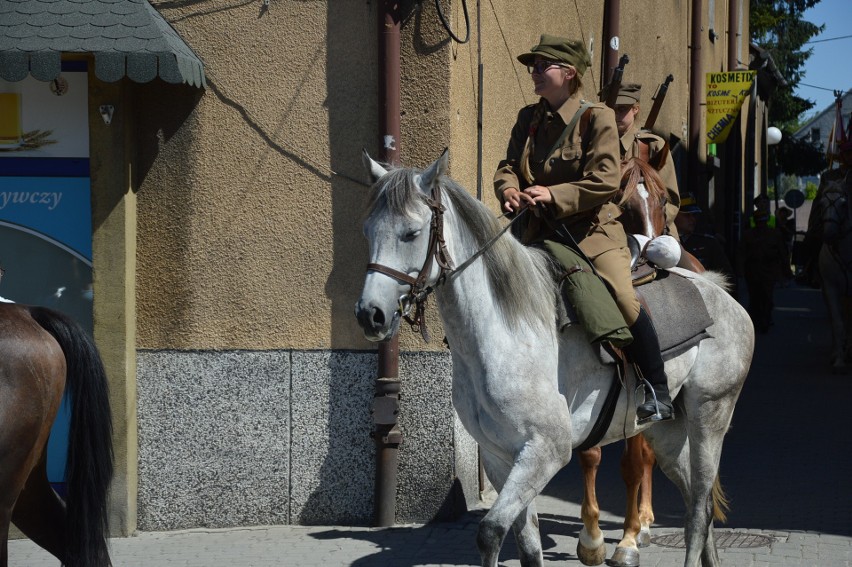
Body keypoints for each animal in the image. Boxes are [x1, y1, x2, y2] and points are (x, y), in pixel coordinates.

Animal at [356, 151, 756, 567]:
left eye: (411, 233)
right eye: (367, 232)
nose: (370, 315)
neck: (507, 331)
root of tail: (718, 290)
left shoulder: (545, 451)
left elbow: (490, 531)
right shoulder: (503, 458)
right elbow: (529, 545)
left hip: (710, 415)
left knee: (698, 510)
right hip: (668, 433)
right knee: (697, 500)